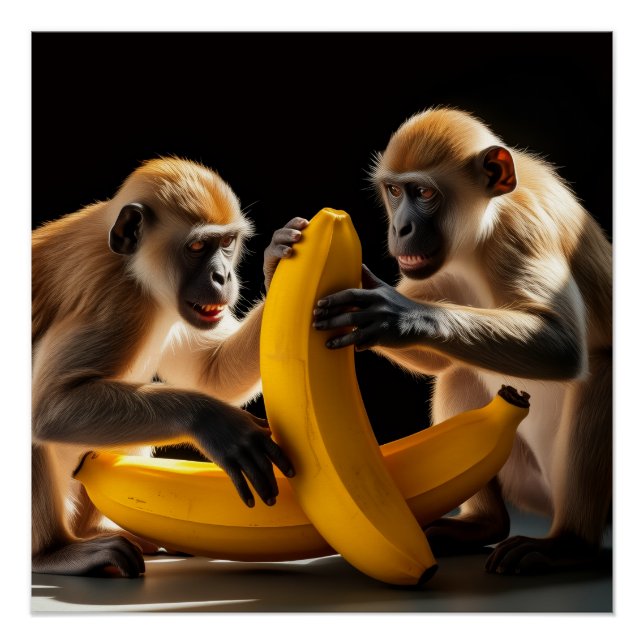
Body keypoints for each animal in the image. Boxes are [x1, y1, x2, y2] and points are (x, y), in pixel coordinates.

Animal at [32, 157, 296, 578]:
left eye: (227, 244)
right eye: (197, 247)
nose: (223, 276)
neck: (136, 270)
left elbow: (210, 372)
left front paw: (277, 256)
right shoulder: (113, 298)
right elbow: (49, 408)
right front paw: (216, 423)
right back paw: (54, 551)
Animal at [311, 108, 612, 574]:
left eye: (423, 193)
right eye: (394, 191)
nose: (400, 226)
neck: (482, 230)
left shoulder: (521, 230)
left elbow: (563, 346)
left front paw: (398, 314)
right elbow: (437, 362)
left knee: (600, 375)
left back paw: (569, 544)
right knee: (460, 370)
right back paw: (483, 525)